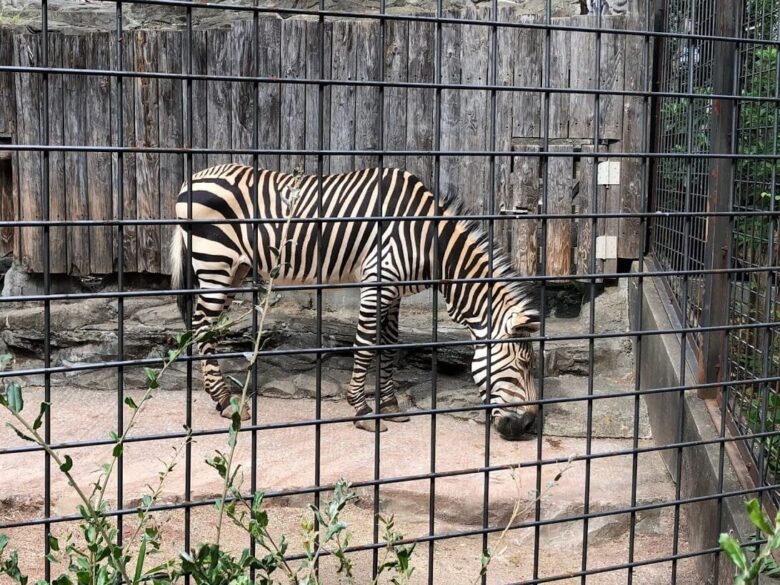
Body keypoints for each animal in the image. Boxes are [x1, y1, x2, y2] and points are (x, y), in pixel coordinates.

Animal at [169, 163, 544, 438]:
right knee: (201, 327)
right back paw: (224, 401)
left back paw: (220, 397)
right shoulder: (378, 280)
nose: (528, 426)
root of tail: (191, 179)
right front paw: (362, 410)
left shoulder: (395, 292)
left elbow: (389, 345)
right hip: (216, 263)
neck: (428, 239)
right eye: (522, 365)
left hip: (234, 269)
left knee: (205, 327)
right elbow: (365, 345)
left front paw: (390, 406)